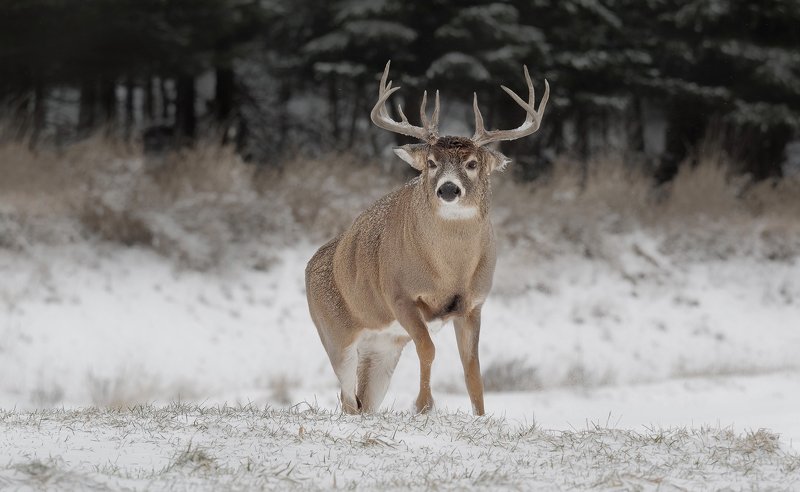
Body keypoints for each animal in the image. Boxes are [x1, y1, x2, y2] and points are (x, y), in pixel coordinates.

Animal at [305, 61, 549, 416]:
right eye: (432, 163)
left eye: (472, 163)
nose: (448, 189)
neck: (449, 273)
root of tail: (310, 265)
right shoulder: (399, 294)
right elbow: (428, 349)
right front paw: (423, 405)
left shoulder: (474, 304)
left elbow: (472, 368)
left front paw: (480, 415)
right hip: (334, 336)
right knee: (348, 397)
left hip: (382, 347)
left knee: (365, 400)